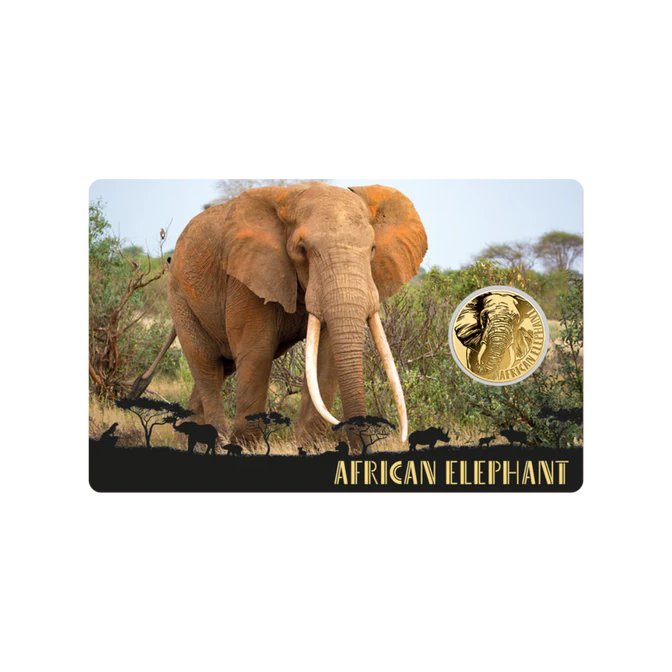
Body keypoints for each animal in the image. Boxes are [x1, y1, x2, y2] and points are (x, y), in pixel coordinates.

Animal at [132, 183, 427, 453]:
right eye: (302, 249)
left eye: (373, 248)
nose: (360, 449)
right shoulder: (248, 276)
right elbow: (257, 352)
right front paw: (247, 447)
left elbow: (326, 357)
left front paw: (310, 447)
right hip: (180, 298)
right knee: (206, 365)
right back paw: (219, 442)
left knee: (221, 367)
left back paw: (186, 441)